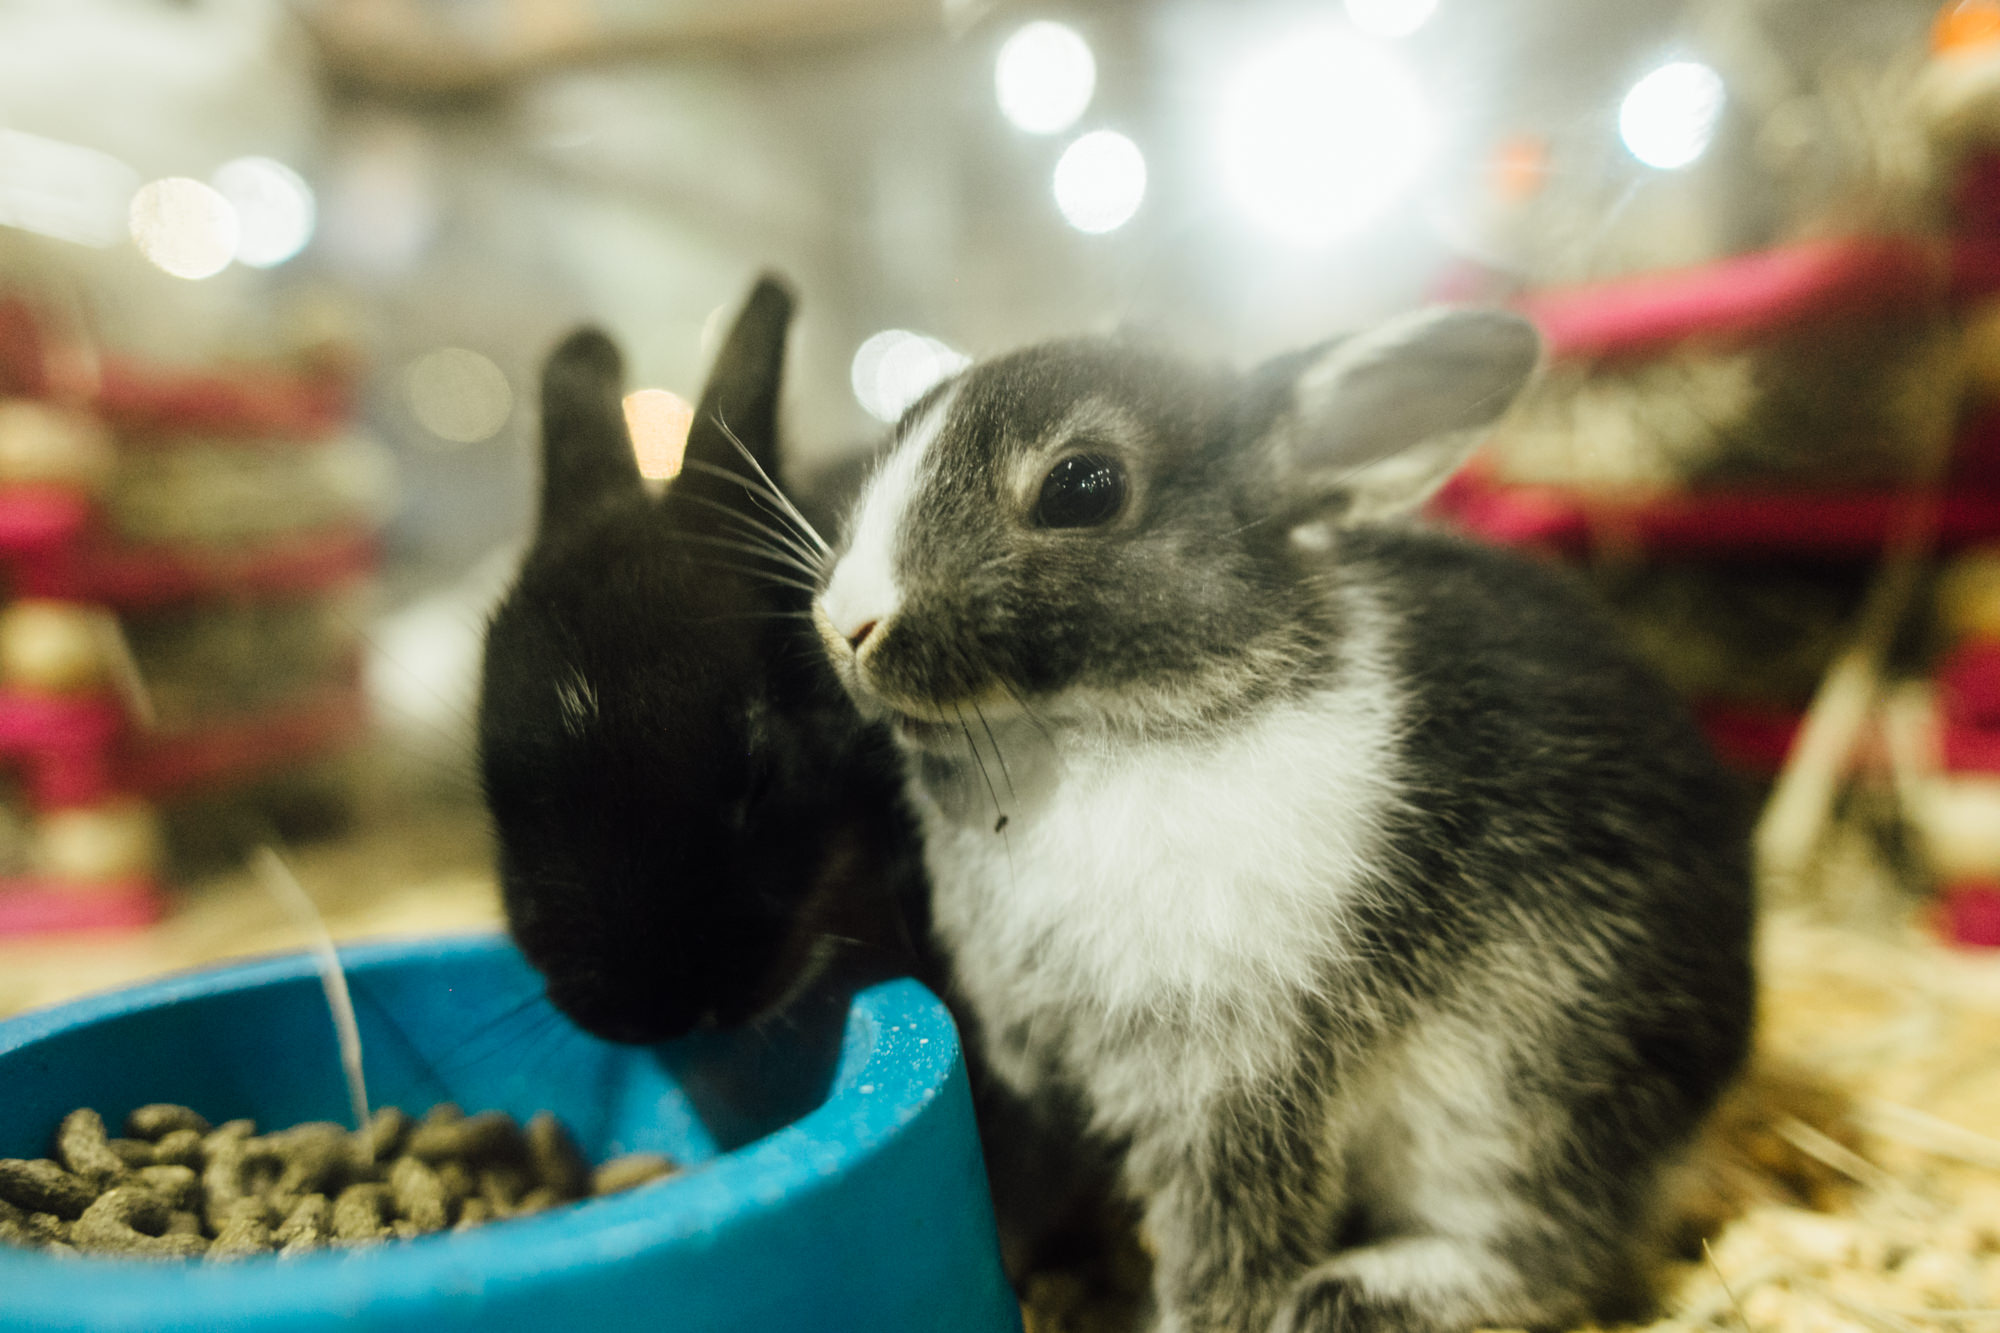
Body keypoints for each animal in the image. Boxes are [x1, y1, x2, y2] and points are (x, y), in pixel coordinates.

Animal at [812, 306, 1752, 1320]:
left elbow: (1227, 1245)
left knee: (1539, 1248)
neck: (1083, 733)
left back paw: (1354, 1295)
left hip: (1520, 1099)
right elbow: (1018, 1180)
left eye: (1083, 489)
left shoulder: (1240, 1083)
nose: (847, 621)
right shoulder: (1036, 1072)